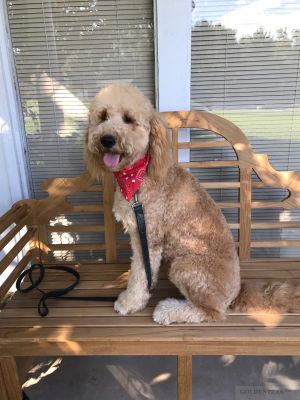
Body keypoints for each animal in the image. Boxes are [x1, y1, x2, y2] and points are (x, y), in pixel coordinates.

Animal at [85, 83, 300, 324]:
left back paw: (167, 310)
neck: (138, 175)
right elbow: (138, 272)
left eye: (129, 119)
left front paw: (129, 303)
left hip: (185, 267)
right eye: (103, 116)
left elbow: (140, 275)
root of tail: (236, 293)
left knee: (210, 313)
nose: (107, 139)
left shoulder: (149, 238)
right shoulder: (138, 235)